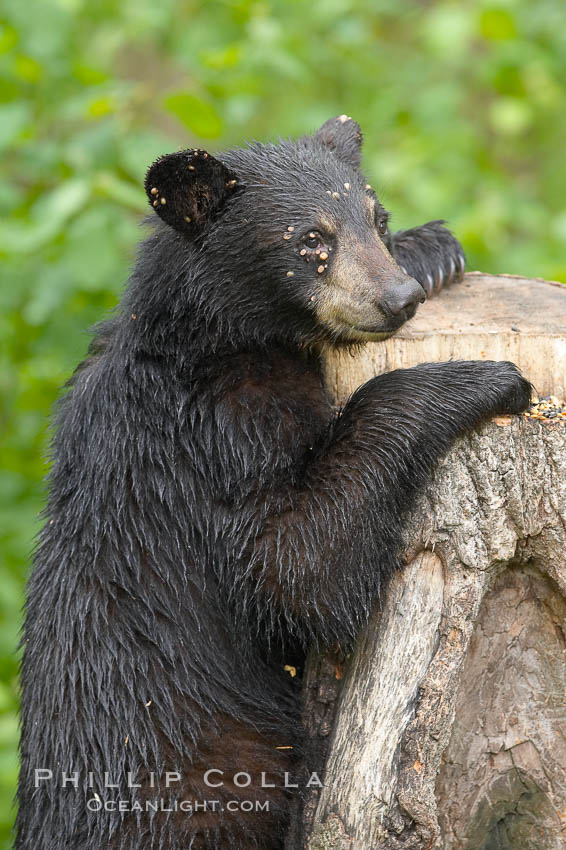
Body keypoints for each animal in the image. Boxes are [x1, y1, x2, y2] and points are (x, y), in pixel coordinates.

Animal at [17, 117, 532, 848]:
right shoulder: (213, 443)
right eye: (310, 239)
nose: (398, 299)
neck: (212, 343)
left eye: (376, 217)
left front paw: (432, 247)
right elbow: (294, 571)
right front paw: (476, 379)